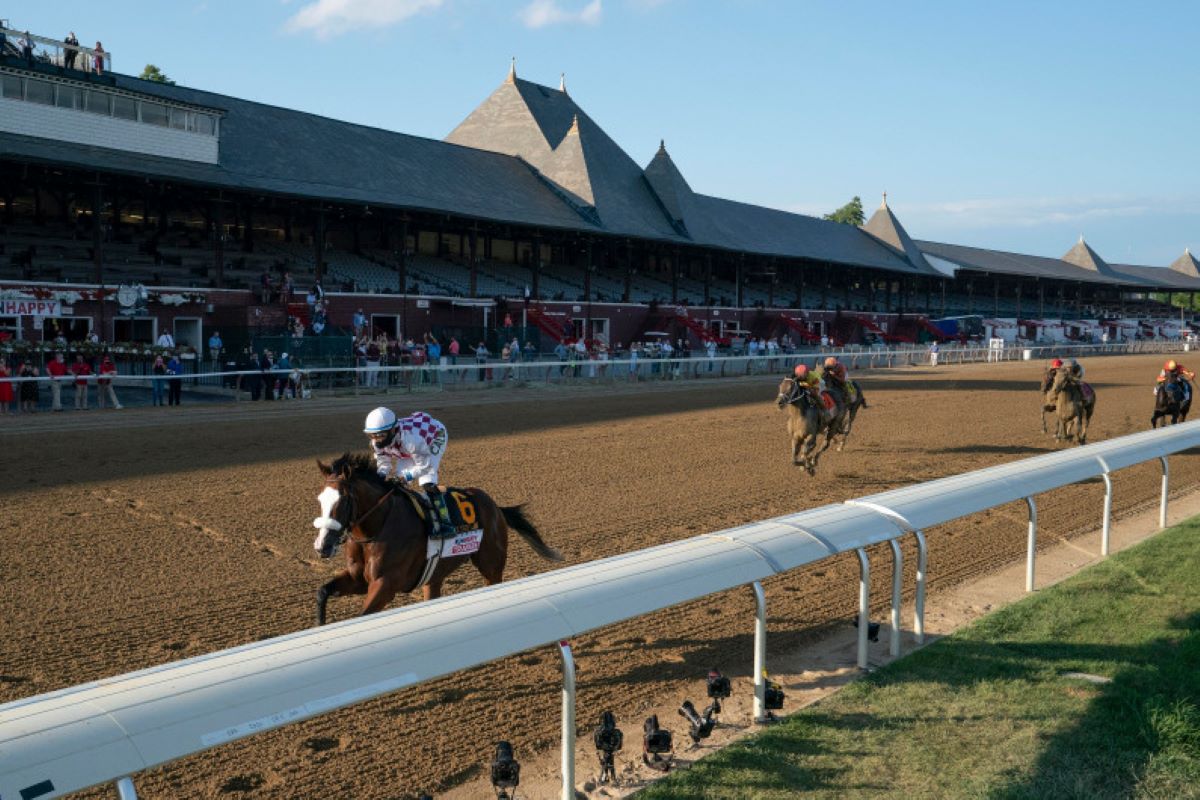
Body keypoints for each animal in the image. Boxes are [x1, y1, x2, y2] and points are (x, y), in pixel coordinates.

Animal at [309, 453, 561, 628]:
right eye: (320, 499)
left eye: (343, 500)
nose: (323, 546)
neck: (377, 528)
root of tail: (496, 507)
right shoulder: (358, 579)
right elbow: (322, 591)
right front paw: (319, 625)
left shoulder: (385, 584)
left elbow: (364, 614)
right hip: (434, 575)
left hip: (491, 564)